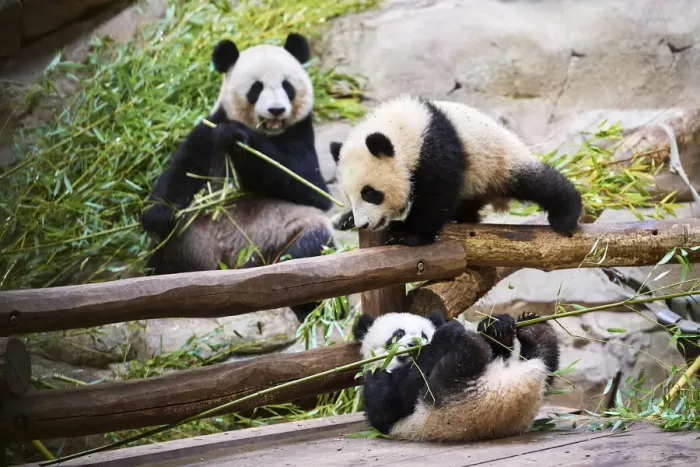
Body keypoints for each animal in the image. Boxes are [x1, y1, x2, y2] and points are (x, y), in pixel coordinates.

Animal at [141, 33, 334, 320]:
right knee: (163, 260)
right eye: (256, 88)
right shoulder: (206, 132)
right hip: (187, 241)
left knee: (308, 252)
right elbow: (181, 173)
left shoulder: (300, 134)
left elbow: (311, 187)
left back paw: (304, 309)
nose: (276, 110)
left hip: (284, 234)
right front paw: (158, 214)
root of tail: (231, 266)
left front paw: (238, 137)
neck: (268, 132)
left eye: (287, 86)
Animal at [329, 96, 582, 246]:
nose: (364, 224)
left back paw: (565, 216)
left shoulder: (437, 149)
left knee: (539, 183)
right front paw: (345, 219)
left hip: (500, 161)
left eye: (370, 193)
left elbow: (437, 196)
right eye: (349, 197)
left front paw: (407, 234)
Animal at [352, 311, 559, 442]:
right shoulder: (375, 378)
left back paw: (537, 331)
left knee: (545, 358)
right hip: (445, 398)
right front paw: (447, 331)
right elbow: (390, 401)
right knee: (463, 359)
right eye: (398, 334)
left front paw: (497, 326)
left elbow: (498, 350)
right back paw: (470, 343)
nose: (415, 343)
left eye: (423, 334)